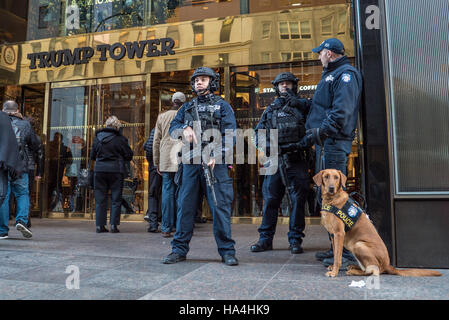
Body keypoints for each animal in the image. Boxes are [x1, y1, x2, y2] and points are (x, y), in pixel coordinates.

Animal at [312, 170, 440, 278]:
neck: (331, 199)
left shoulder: (339, 234)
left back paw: (353, 271)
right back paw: (353, 266)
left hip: (359, 245)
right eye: (326, 176)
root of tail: (388, 265)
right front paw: (333, 267)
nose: (331, 188)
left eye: (336, 177)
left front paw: (334, 272)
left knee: (373, 271)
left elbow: (338, 257)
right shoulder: (333, 235)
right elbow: (335, 254)